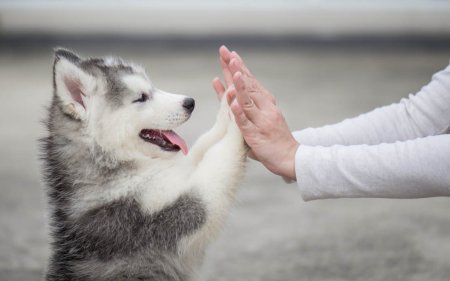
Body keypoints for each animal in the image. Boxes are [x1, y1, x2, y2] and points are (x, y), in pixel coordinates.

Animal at [40, 48, 248, 280]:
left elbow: (203, 145)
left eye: (152, 87)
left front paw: (229, 103)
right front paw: (239, 114)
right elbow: (218, 159)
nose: (190, 102)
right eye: (141, 98)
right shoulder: (171, 213)